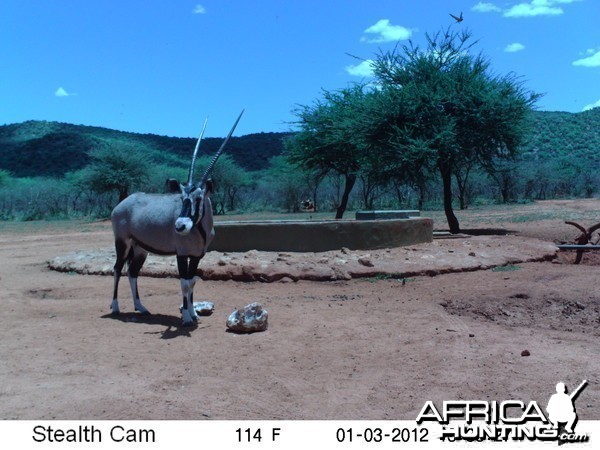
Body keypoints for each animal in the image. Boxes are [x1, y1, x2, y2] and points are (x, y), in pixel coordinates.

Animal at [110, 110, 244, 326]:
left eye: (198, 198)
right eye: (182, 198)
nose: (180, 225)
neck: (200, 230)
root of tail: (121, 205)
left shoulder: (197, 256)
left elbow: (192, 281)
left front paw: (194, 313)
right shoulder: (181, 254)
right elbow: (184, 283)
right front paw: (187, 317)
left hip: (140, 249)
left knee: (132, 272)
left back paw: (141, 307)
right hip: (123, 243)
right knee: (117, 269)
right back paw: (115, 307)